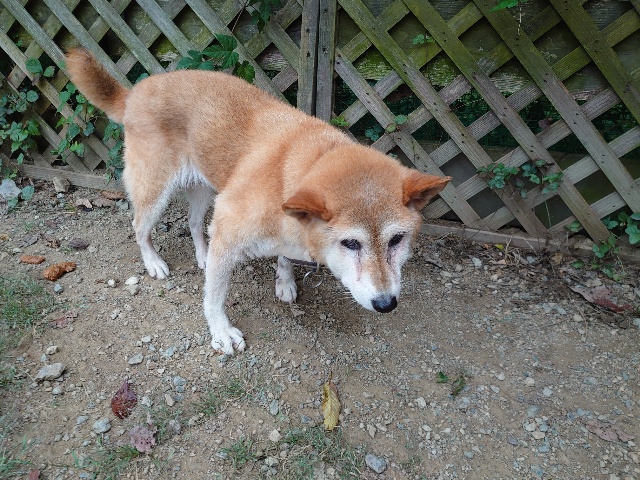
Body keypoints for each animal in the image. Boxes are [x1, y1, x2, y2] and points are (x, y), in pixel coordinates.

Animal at [65, 49, 451, 355]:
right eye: (351, 243)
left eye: (397, 240)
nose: (386, 304)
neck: (294, 169)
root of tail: (136, 91)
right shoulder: (231, 225)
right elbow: (214, 296)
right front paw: (221, 332)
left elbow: (283, 256)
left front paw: (284, 280)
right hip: (156, 191)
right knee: (139, 227)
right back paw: (154, 263)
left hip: (206, 189)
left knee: (194, 223)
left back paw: (203, 256)